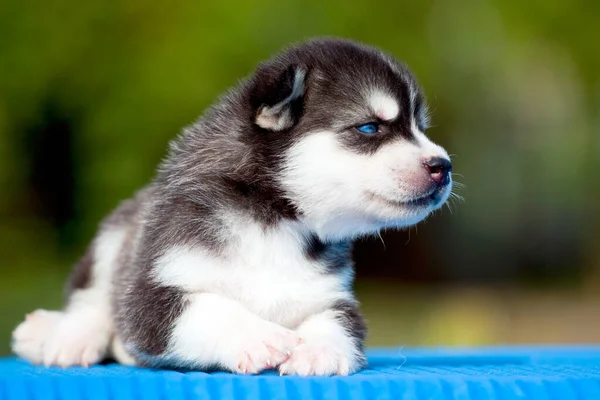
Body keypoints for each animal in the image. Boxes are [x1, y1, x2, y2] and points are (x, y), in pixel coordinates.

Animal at [10, 36, 450, 376]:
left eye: (421, 129)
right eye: (369, 127)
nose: (443, 166)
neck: (275, 222)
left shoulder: (331, 296)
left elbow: (338, 322)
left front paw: (318, 350)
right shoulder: (152, 291)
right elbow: (210, 308)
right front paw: (261, 337)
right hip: (116, 236)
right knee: (90, 296)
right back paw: (60, 336)